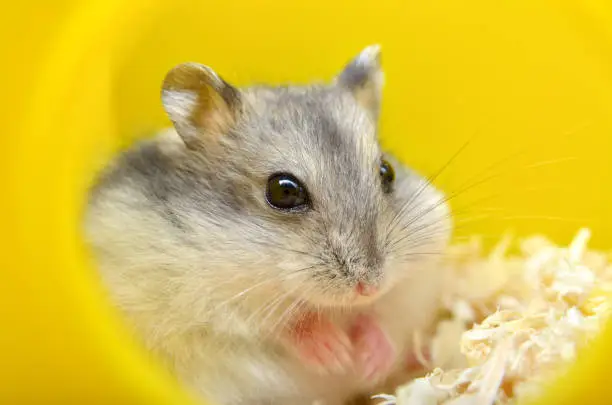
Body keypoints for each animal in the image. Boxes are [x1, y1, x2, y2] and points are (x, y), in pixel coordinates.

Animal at [83, 45, 450, 404]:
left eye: (387, 172)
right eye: (283, 191)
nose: (369, 287)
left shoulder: (417, 282)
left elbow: (387, 316)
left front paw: (371, 360)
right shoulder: (201, 296)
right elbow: (282, 325)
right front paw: (335, 354)